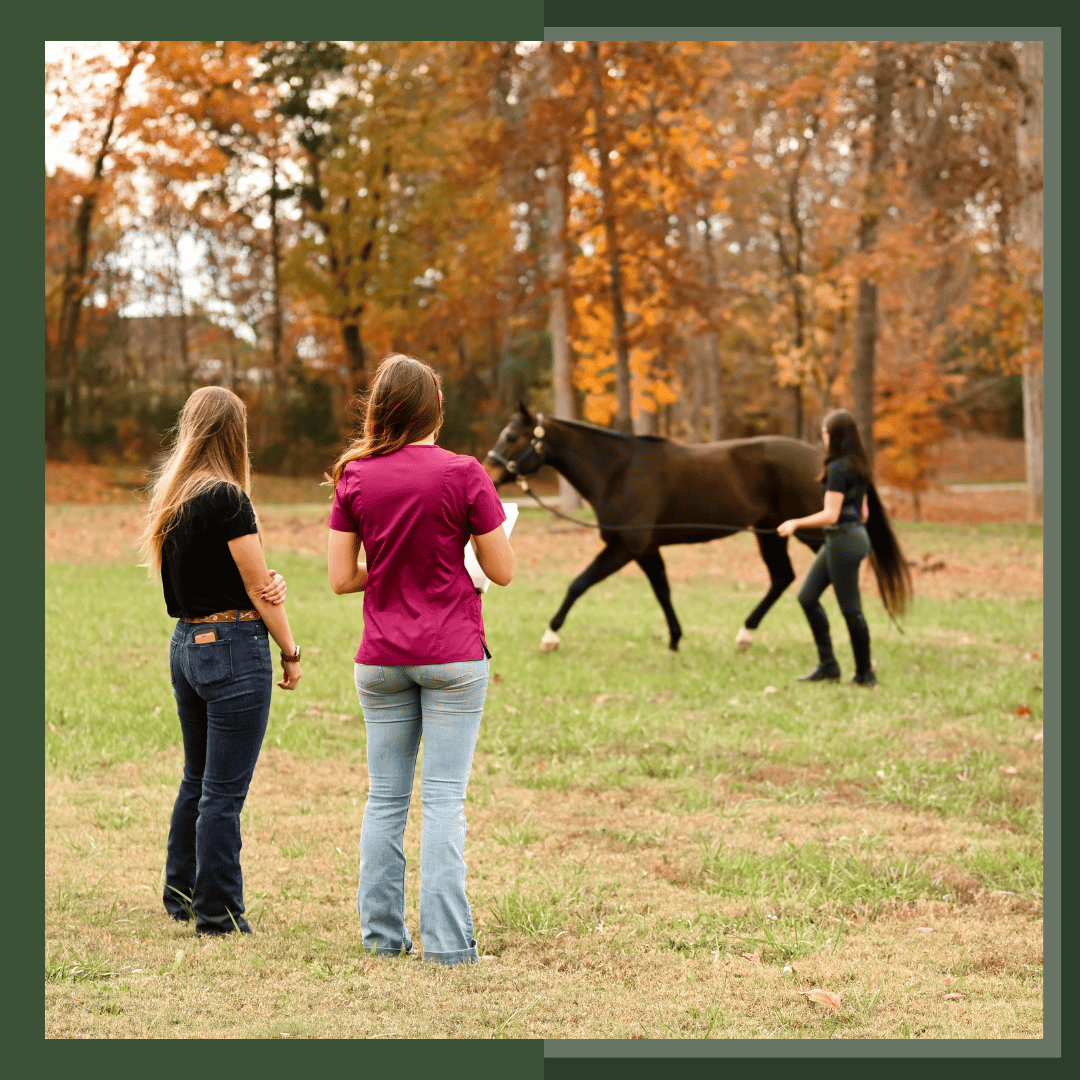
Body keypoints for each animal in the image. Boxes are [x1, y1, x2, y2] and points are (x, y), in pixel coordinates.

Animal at [483, 406, 825, 652]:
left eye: (511, 436)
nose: (488, 472)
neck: (617, 473)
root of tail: (818, 457)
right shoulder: (647, 550)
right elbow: (662, 591)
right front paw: (675, 639)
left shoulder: (626, 547)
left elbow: (579, 584)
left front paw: (550, 636)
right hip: (771, 532)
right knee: (782, 578)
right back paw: (745, 635)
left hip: (809, 533)